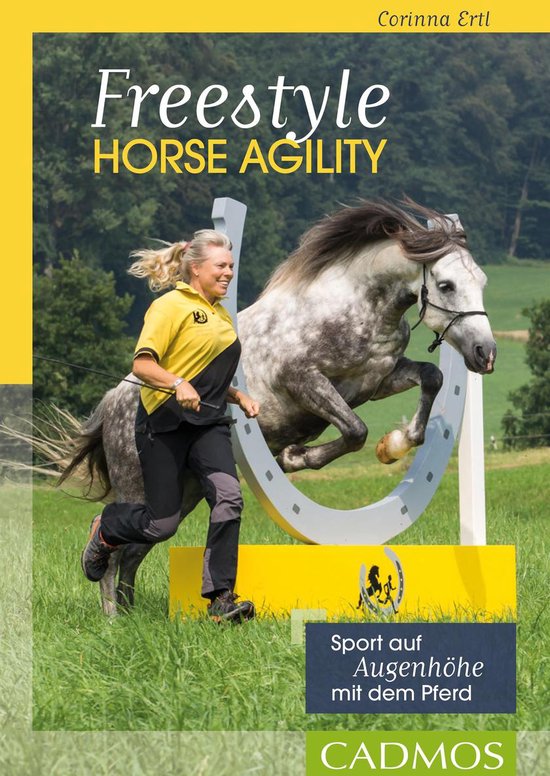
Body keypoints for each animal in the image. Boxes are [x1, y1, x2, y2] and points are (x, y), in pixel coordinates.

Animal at [48, 199, 497, 615]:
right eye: (446, 284)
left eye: (481, 281)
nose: (485, 354)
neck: (358, 308)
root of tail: (114, 400)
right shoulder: (304, 381)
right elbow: (355, 431)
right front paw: (294, 457)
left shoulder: (376, 380)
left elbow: (430, 379)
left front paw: (396, 445)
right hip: (141, 483)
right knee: (114, 542)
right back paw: (111, 613)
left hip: (183, 493)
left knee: (135, 550)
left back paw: (130, 614)